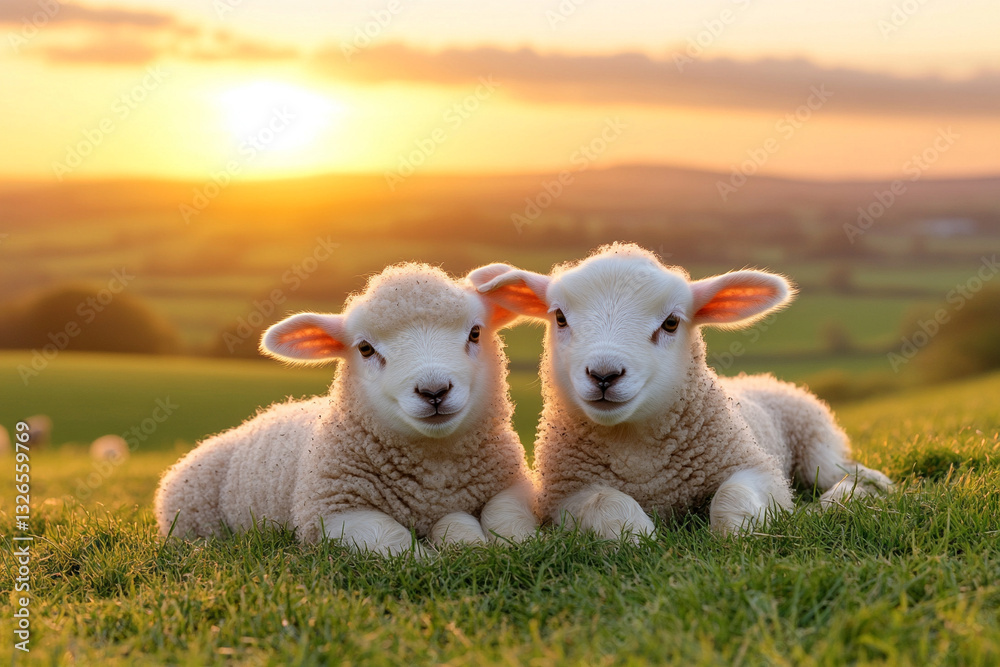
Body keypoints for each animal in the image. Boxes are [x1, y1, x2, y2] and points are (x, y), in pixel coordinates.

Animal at [154, 263, 537, 555]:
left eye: (475, 333)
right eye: (365, 348)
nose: (434, 391)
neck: (435, 472)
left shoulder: (511, 482)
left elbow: (509, 519)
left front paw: (509, 543)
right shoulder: (332, 512)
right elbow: (393, 540)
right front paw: (434, 555)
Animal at [473, 243, 892, 539]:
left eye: (671, 322)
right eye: (559, 317)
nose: (604, 375)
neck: (636, 452)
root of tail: (764, 378)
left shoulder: (759, 469)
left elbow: (733, 498)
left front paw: (739, 532)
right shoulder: (563, 495)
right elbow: (606, 502)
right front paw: (638, 535)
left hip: (814, 444)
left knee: (841, 471)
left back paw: (860, 490)